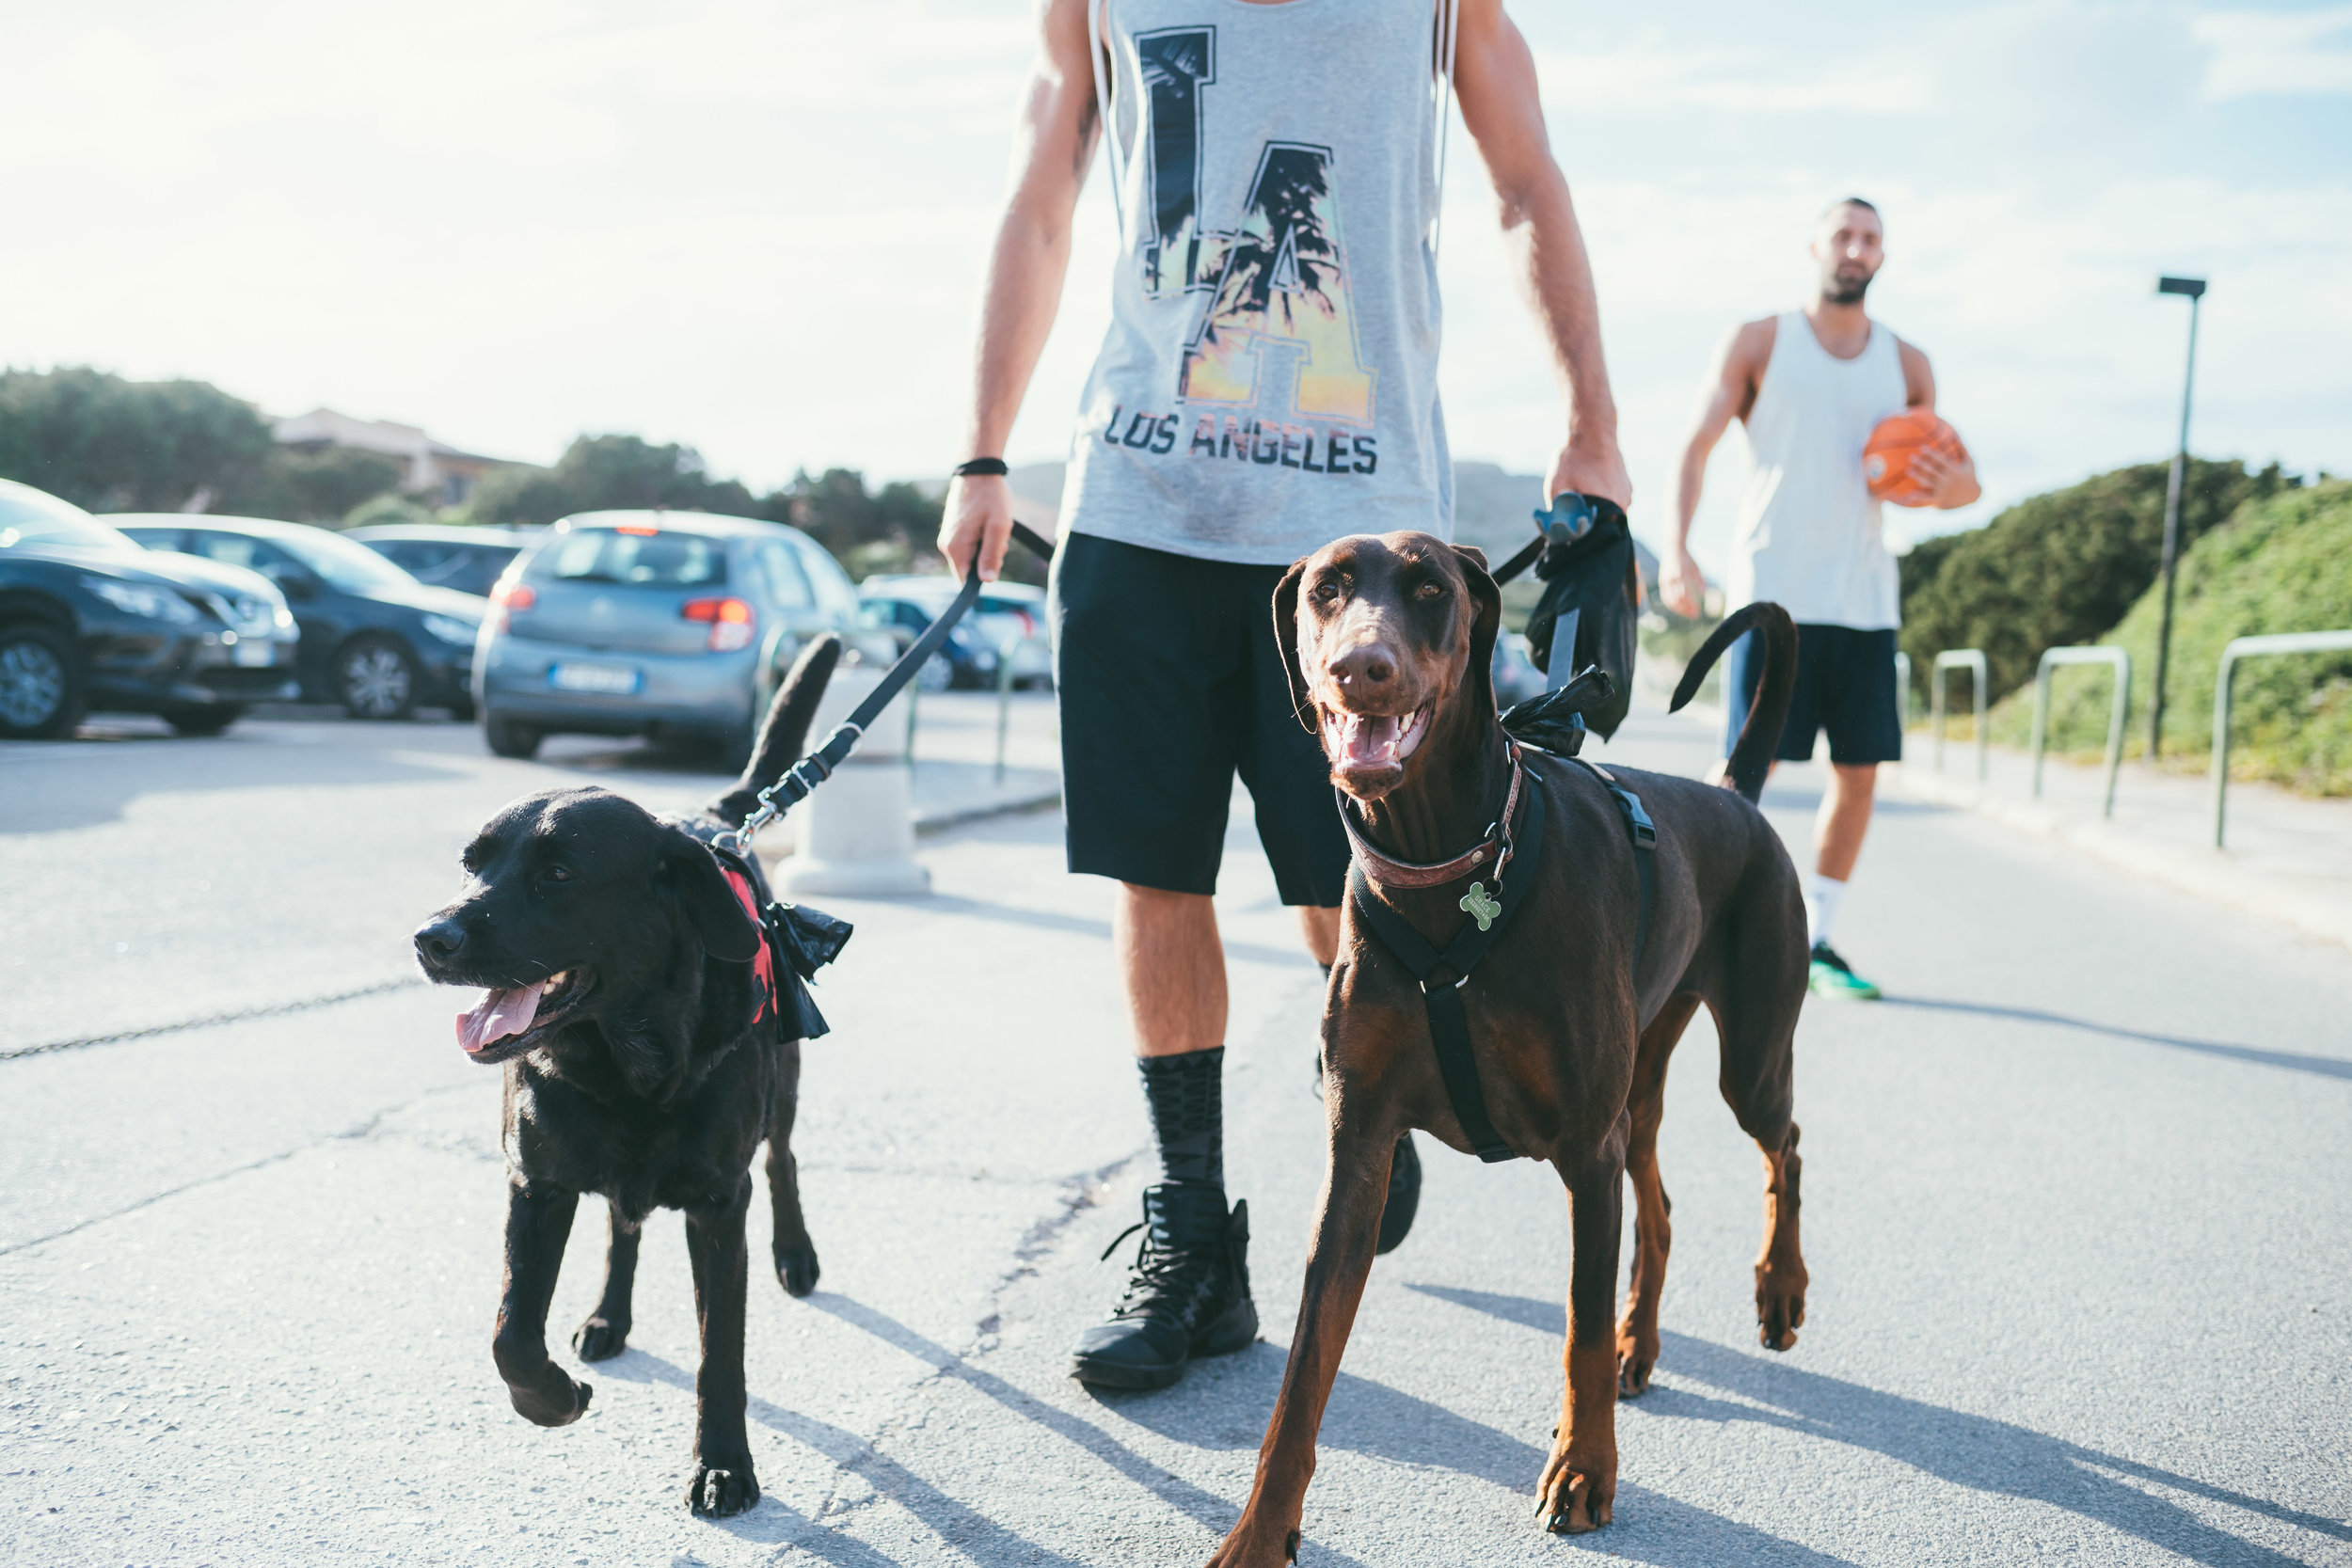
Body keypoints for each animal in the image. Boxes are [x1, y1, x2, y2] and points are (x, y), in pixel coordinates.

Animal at [419, 634, 842, 1523]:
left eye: (559, 874)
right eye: (472, 863)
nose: (429, 936)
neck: (624, 1060)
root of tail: (717, 820)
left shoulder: (719, 1206)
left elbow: (721, 1353)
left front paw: (723, 1465)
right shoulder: (535, 1182)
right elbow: (512, 1331)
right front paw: (553, 1399)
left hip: (782, 1093)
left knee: (781, 1158)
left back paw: (795, 1253)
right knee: (623, 1223)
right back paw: (608, 1317)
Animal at [1204, 533, 1806, 1560]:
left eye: (1429, 588)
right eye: (1327, 588)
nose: (1361, 668)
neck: (1445, 872)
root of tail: (1735, 799)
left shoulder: (1583, 1153)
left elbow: (1574, 1329)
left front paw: (1583, 1470)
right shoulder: (1358, 1151)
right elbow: (1304, 1371)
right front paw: (1258, 1530)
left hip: (1749, 1055)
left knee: (1784, 1142)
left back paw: (1779, 1289)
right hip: (1641, 1078)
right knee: (1660, 1198)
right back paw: (1640, 1340)